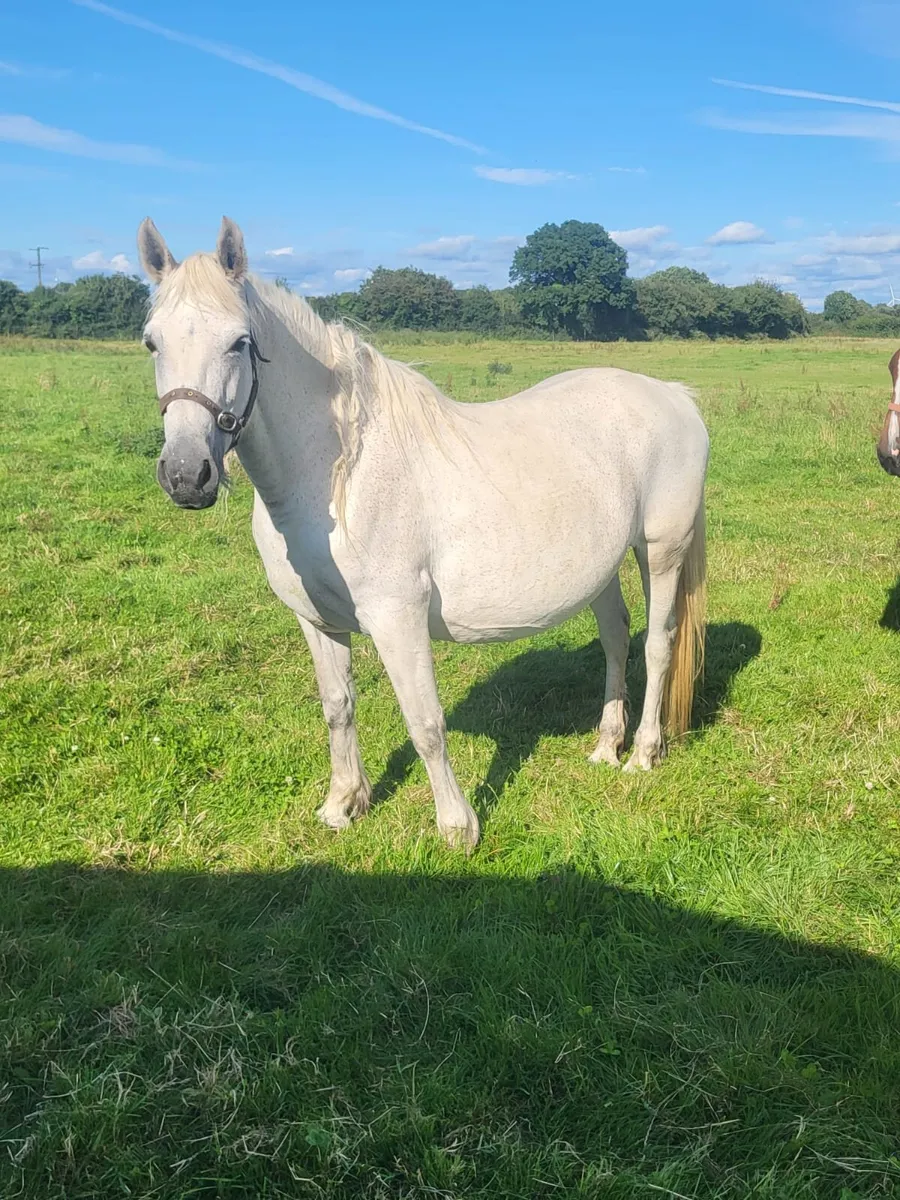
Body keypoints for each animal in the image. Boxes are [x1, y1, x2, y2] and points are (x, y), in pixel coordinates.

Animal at [137, 216, 710, 849]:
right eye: (152, 343)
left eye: (240, 341)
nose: (186, 475)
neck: (338, 475)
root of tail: (673, 395)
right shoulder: (316, 621)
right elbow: (337, 706)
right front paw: (344, 804)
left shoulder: (397, 617)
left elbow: (426, 722)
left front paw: (457, 826)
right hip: (601, 567)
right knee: (615, 638)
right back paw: (607, 746)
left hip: (660, 552)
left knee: (658, 644)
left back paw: (643, 754)